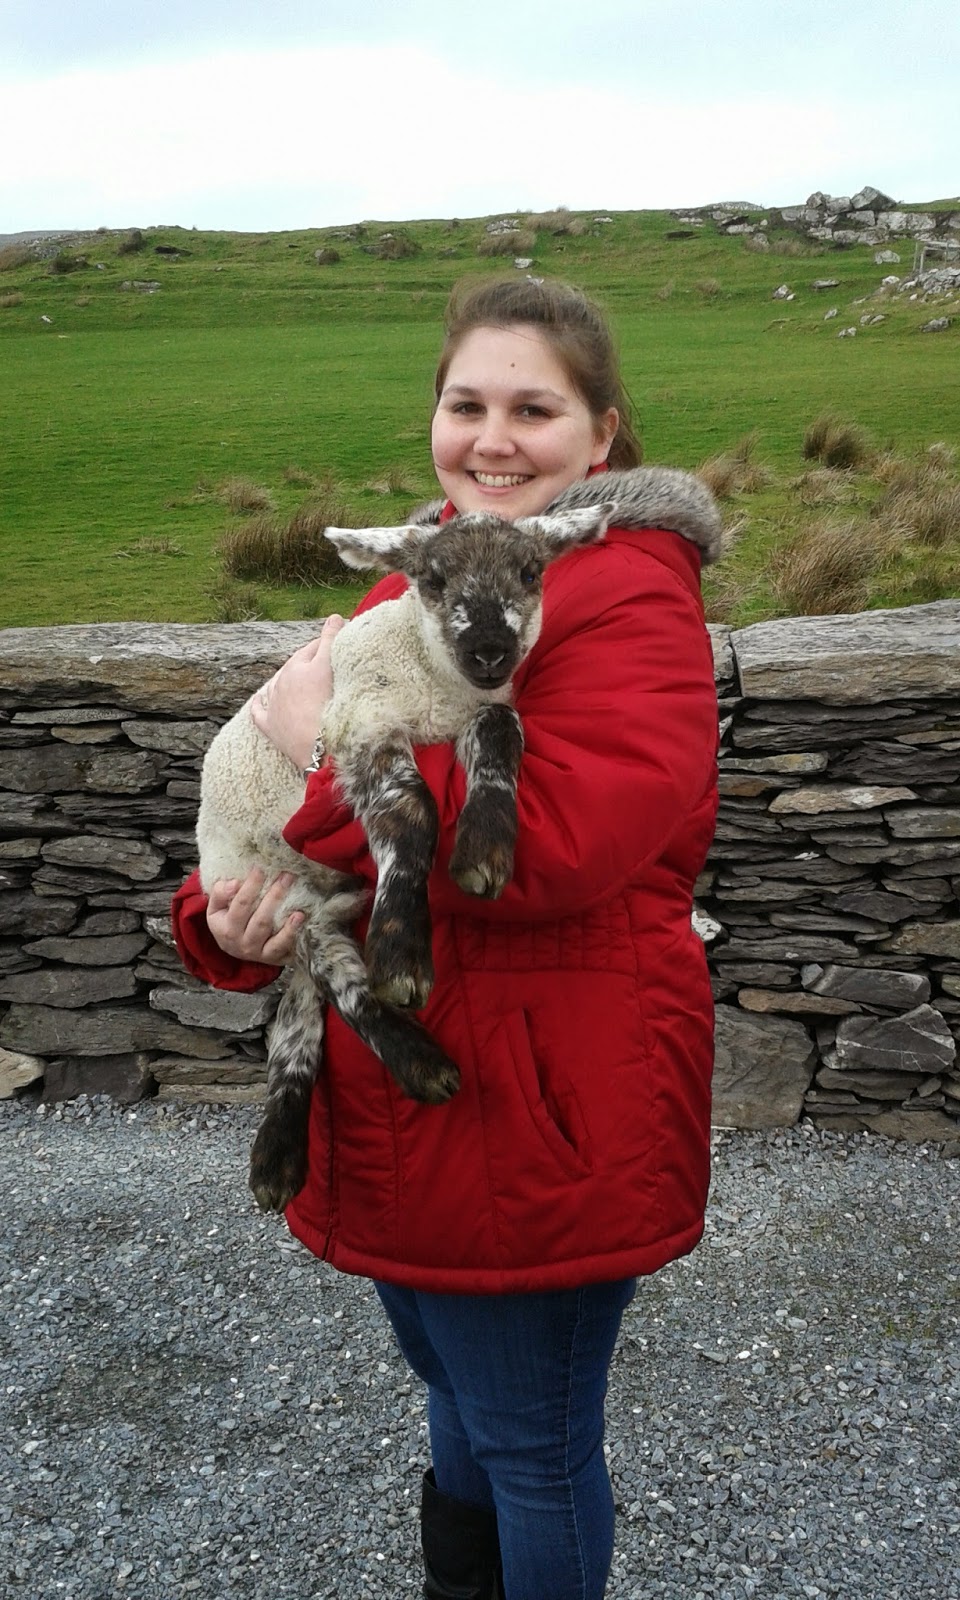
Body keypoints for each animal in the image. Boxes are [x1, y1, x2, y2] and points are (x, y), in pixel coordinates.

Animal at [197, 500, 615, 1213]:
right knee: (334, 973)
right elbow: (412, 808)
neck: (436, 684)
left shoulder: (477, 712)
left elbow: (503, 734)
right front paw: (401, 951)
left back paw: (280, 1150)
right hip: (272, 886)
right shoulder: (360, 726)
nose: (489, 651)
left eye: (531, 572)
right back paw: (417, 1061)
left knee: (302, 1008)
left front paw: (483, 847)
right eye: (435, 578)